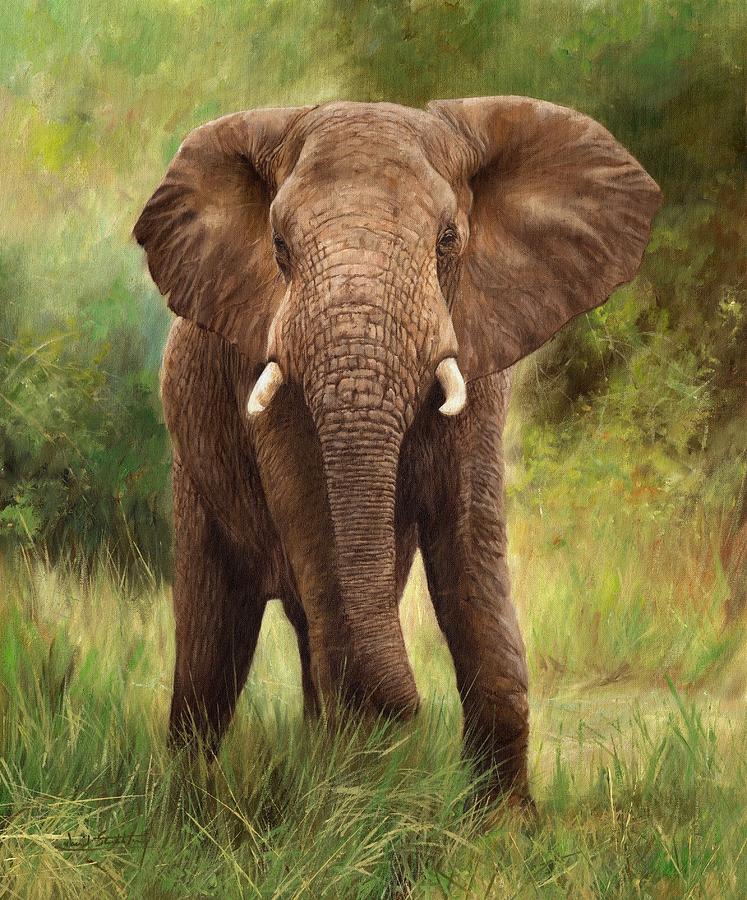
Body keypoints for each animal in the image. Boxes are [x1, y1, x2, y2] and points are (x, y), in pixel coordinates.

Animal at [134, 97, 661, 805]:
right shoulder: (263, 361)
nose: (413, 711)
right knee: (216, 633)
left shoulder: (478, 352)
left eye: (448, 239)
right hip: (192, 469)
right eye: (279, 247)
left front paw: (501, 822)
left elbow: (470, 541)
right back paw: (195, 803)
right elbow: (318, 524)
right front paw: (355, 797)